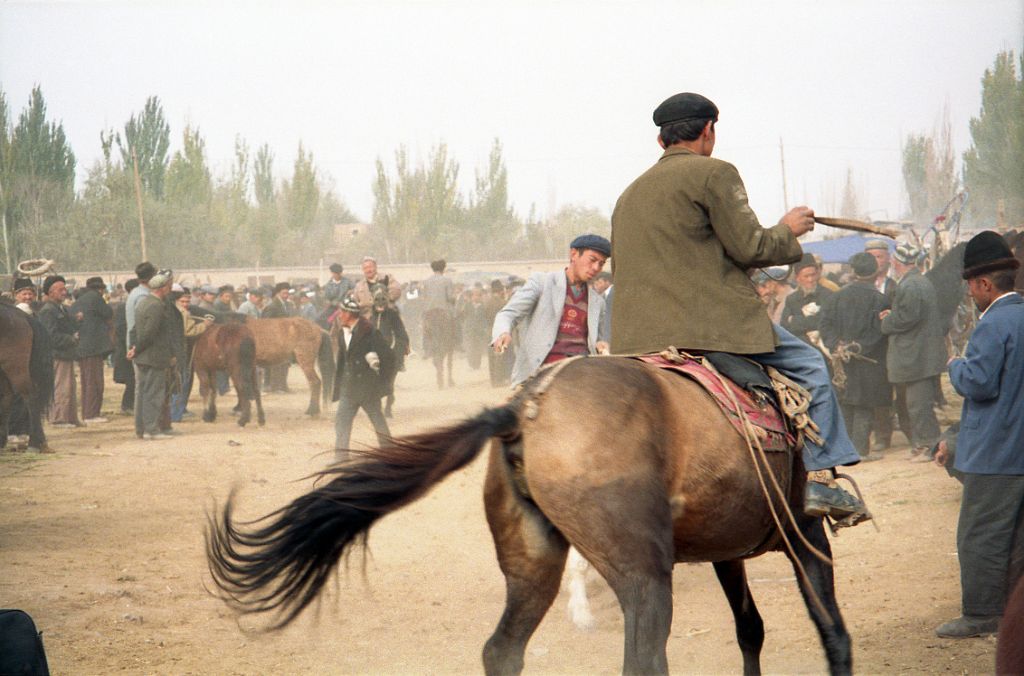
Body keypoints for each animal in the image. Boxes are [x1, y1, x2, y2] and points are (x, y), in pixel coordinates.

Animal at [207, 356, 856, 671]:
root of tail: (523, 409)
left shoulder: (729, 549)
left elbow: (751, 630)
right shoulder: (805, 533)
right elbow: (834, 634)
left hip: (532, 561)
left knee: (502, 651)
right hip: (644, 573)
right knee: (643, 658)